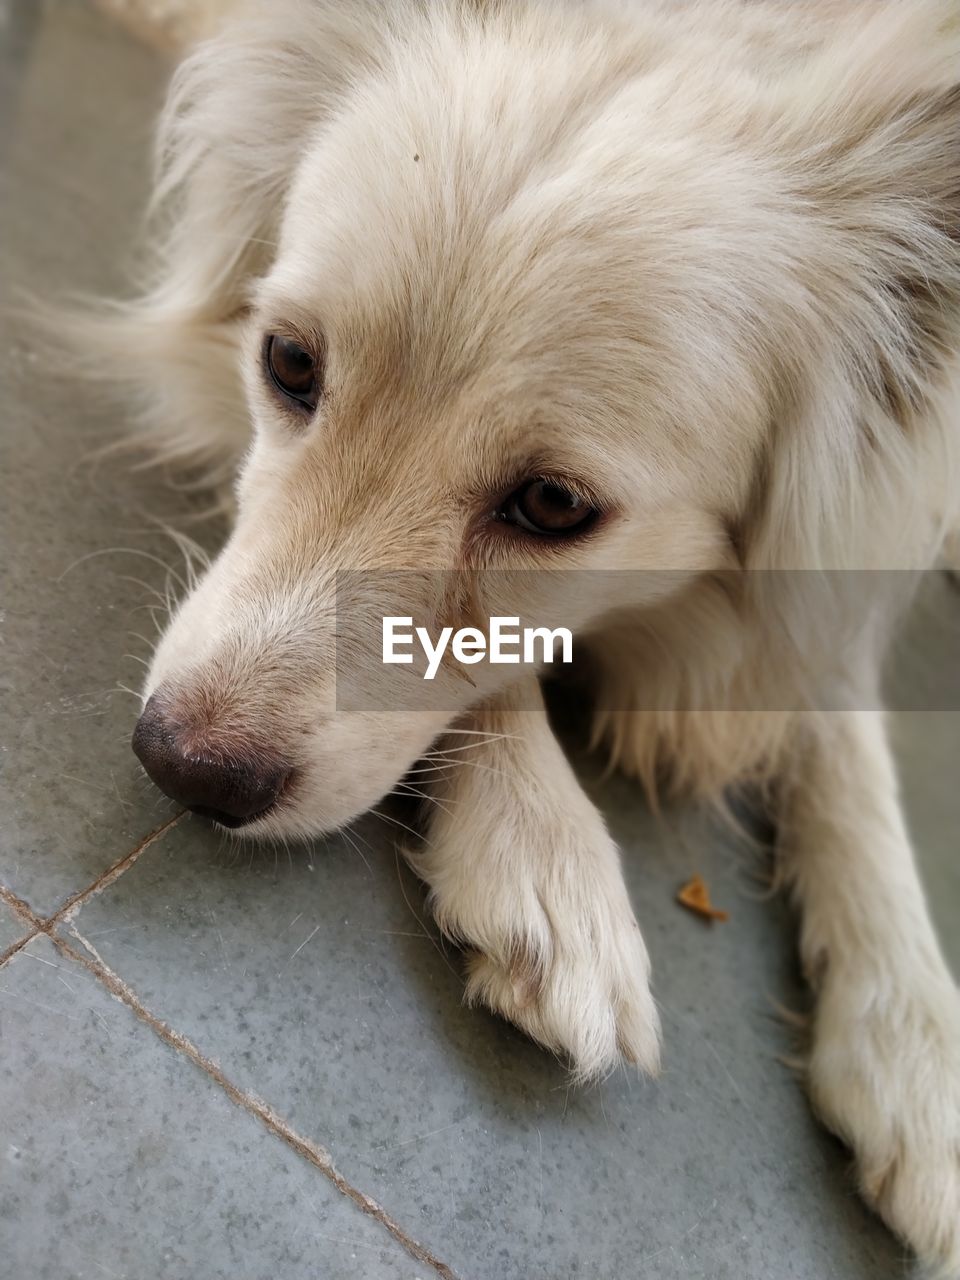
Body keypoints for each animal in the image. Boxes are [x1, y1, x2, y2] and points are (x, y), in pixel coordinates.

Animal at [82, 2, 960, 1269]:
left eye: (552, 505)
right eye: (288, 362)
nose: (185, 765)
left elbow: (838, 716)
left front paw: (920, 1048)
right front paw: (548, 858)